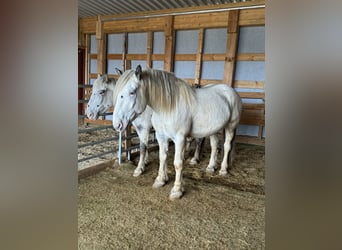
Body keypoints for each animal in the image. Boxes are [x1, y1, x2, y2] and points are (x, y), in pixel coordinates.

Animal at [113, 65, 242, 200]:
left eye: (132, 92)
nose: (117, 124)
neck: (168, 106)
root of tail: (231, 91)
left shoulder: (180, 139)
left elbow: (178, 163)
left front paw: (177, 190)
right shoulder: (161, 137)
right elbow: (162, 157)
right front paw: (160, 180)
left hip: (231, 126)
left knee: (226, 146)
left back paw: (223, 170)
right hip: (213, 130)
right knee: (214, 146)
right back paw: (211, 167)